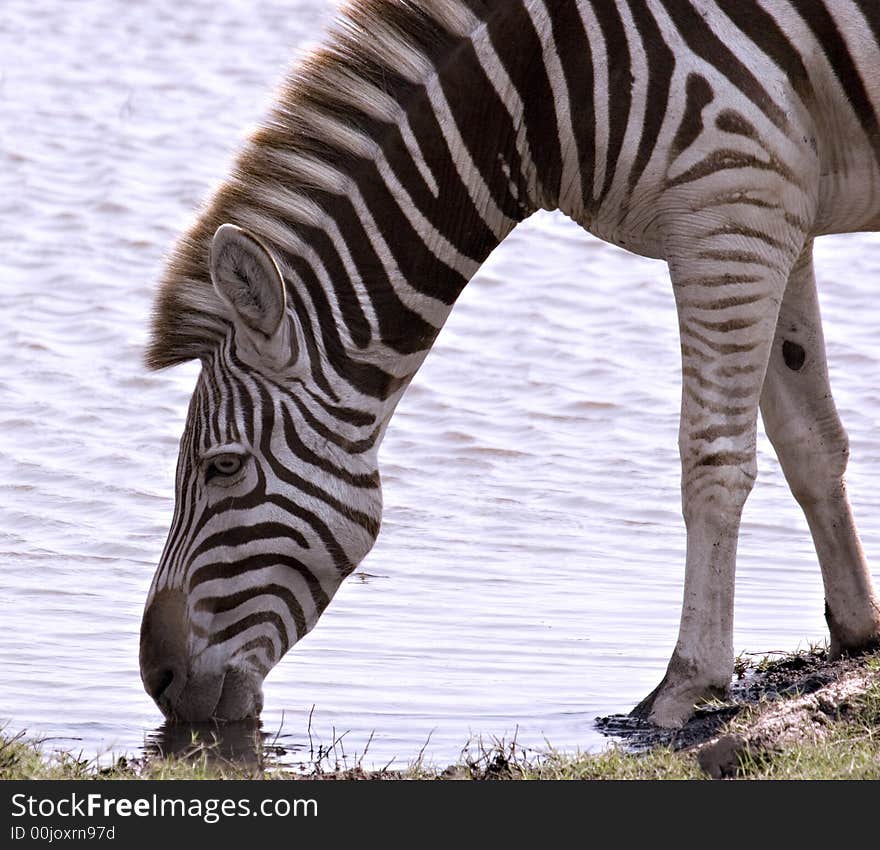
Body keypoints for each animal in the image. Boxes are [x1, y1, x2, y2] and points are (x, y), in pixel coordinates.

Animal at [139, 1, 880, 728]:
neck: (546, 89)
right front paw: (858, 628)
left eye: (223, 467)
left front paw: (686, 683)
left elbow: (713, 459)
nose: (156, 680)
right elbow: (809, 441)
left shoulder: (728, 208)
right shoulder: (775, 218)